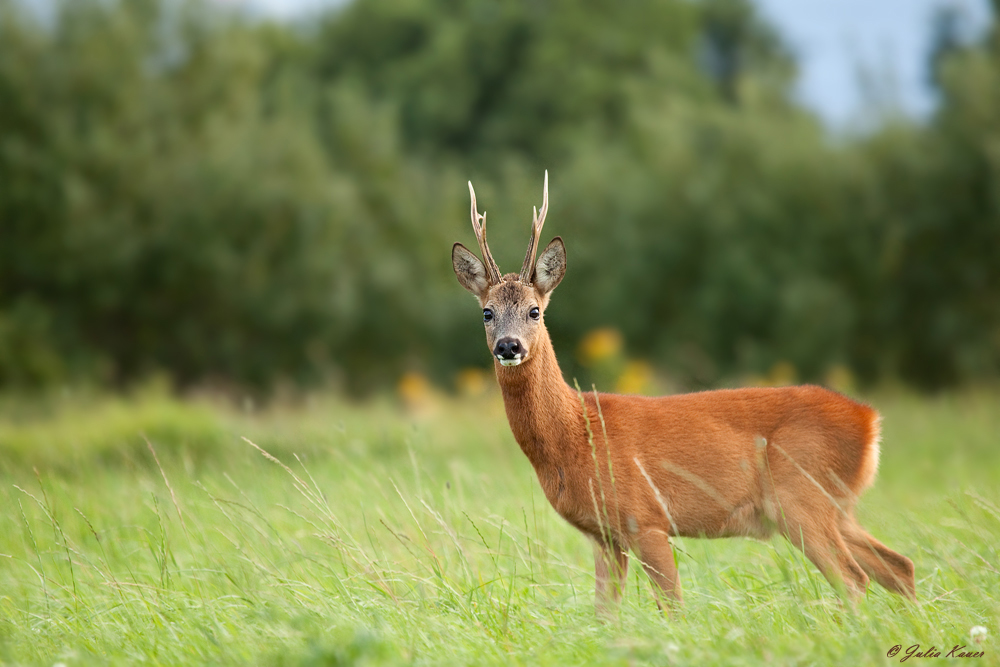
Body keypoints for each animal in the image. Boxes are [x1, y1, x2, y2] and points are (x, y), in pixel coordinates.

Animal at [452, 171, 916, 616]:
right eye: (487, 313)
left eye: (534, 311)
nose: (508, 346)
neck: (577, 435)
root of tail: (870, 420)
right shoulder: (605, 535)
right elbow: (604, 615)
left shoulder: (647, 519)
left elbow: (673, 607)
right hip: (836, 507)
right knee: (899, 565)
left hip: (803, 497)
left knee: (855, 579)